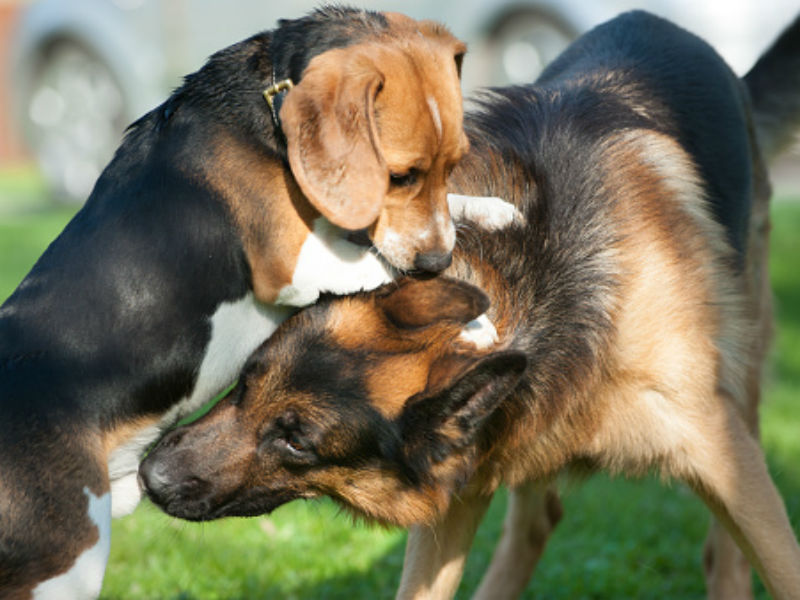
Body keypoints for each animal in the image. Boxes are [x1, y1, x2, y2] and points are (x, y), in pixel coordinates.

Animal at [0, 7, 524, 596]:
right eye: (400, 175)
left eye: (452, 164)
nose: (437, 260)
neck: (265, 105)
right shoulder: (294, 266)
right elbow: (389, 272)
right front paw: (474, 320)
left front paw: (488, 210)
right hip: (68, 561)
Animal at [139, 10, 800, 600]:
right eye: (248, 380)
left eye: (298, 442)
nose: (148, 477)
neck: (520, 286)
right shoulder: (461, 482)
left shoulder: (722, 455)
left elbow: (781, 567)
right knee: (539, 519)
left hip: (741, 392)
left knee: (722, 553)